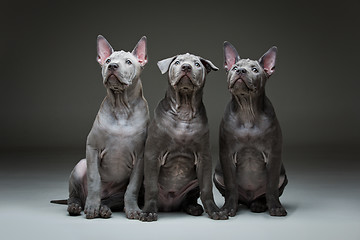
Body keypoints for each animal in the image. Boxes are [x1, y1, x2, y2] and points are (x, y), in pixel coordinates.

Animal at [139, 52, 228, 221]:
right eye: (177, 62)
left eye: (197, 64)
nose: (186, 67)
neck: (184, 109)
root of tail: (169, 205)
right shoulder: (153, 154)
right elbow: (152, 187)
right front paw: (148, 212)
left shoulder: (204, 157)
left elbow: (207, 187)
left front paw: (214, 210)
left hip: (193, 184)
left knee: (190, 198)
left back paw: (193, 207)